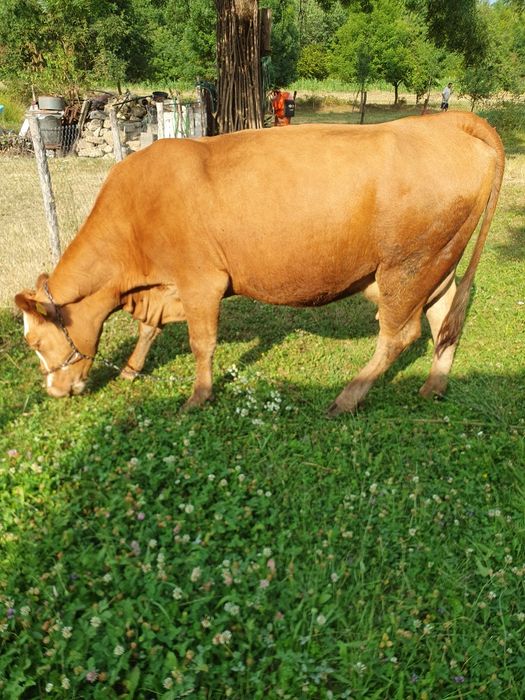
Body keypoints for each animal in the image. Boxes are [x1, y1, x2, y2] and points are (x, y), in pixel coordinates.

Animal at [15, 112, 504, 415]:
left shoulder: (201, 281)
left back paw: (348, 397)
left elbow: (202, 343)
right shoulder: (165, 289)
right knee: (445, 317)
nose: (53, 390)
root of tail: (443, 122)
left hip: (407, 266)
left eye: (35, 342)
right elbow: (149, 329)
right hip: (438, 262)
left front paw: (198, 396)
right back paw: (434, 385)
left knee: (400, 334)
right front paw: (133, 369)